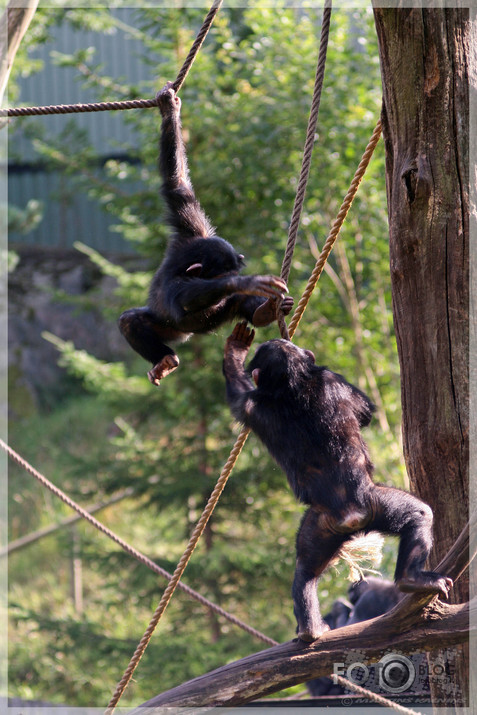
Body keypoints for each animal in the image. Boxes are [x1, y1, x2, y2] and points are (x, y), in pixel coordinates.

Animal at [117, 82, 292, 386]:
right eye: (222, 273)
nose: (234, 274)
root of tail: (185, 336)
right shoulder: (179, 283)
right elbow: (190, 297)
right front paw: (246, 281)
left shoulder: (192, 226)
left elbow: (176, 183)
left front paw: (170, 109)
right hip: (169, 329)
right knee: (130, 321)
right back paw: (164, 360)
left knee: (238, 304)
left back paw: (263, 312)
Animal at [221, 324, 452, 644]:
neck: (291, 387)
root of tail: (349, 517)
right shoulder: (331, 378)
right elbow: (365, 410)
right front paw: (236, 348)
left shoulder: (251, 403)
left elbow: (236, 389)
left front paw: (235, 350)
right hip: (377, 504)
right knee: (419, 515)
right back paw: (412, 578)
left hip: (320, 528)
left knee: (305, 570)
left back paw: (311, 629)